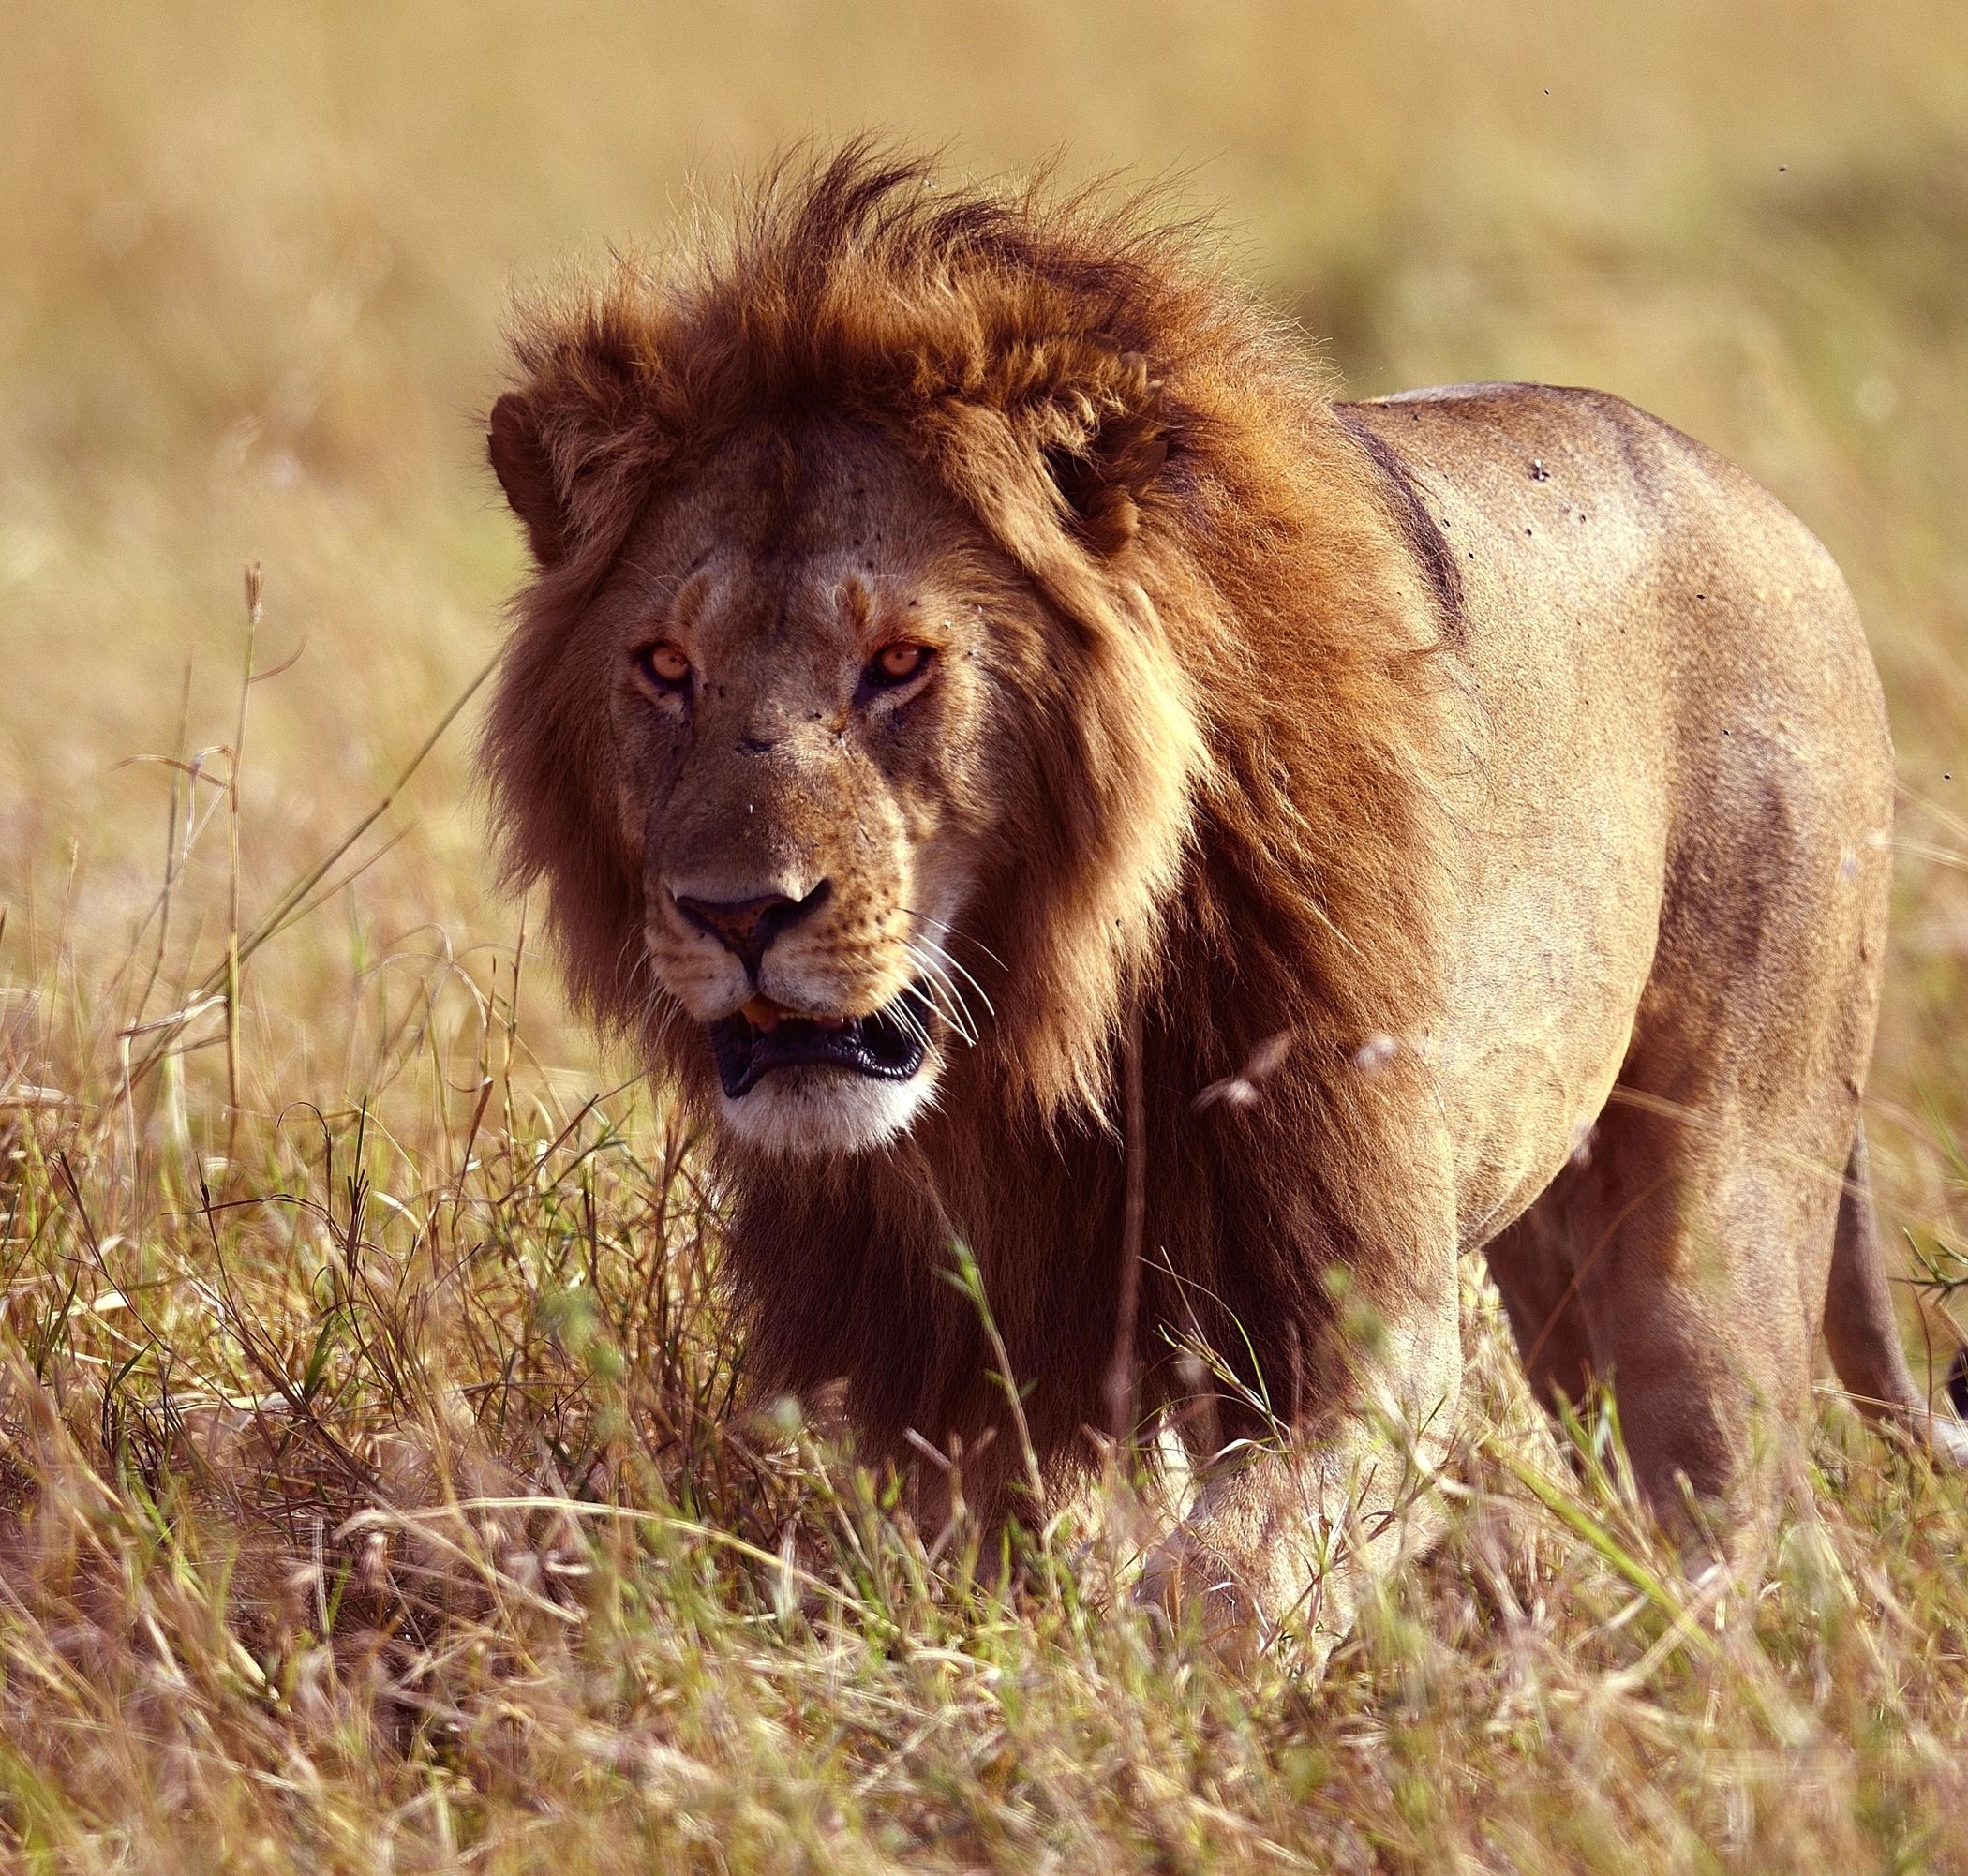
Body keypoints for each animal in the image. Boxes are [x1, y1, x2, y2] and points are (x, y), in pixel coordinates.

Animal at [480, 146, 1965, 1656]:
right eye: (666, 666)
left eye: (899, 662)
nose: (739, 915)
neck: (1041, 1028)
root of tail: (1773, 512)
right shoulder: (960, 1368)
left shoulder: (1357, 1315)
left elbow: (1226, 1580)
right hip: (1556, 1238)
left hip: (1719, 1186)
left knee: (1741, 1498)